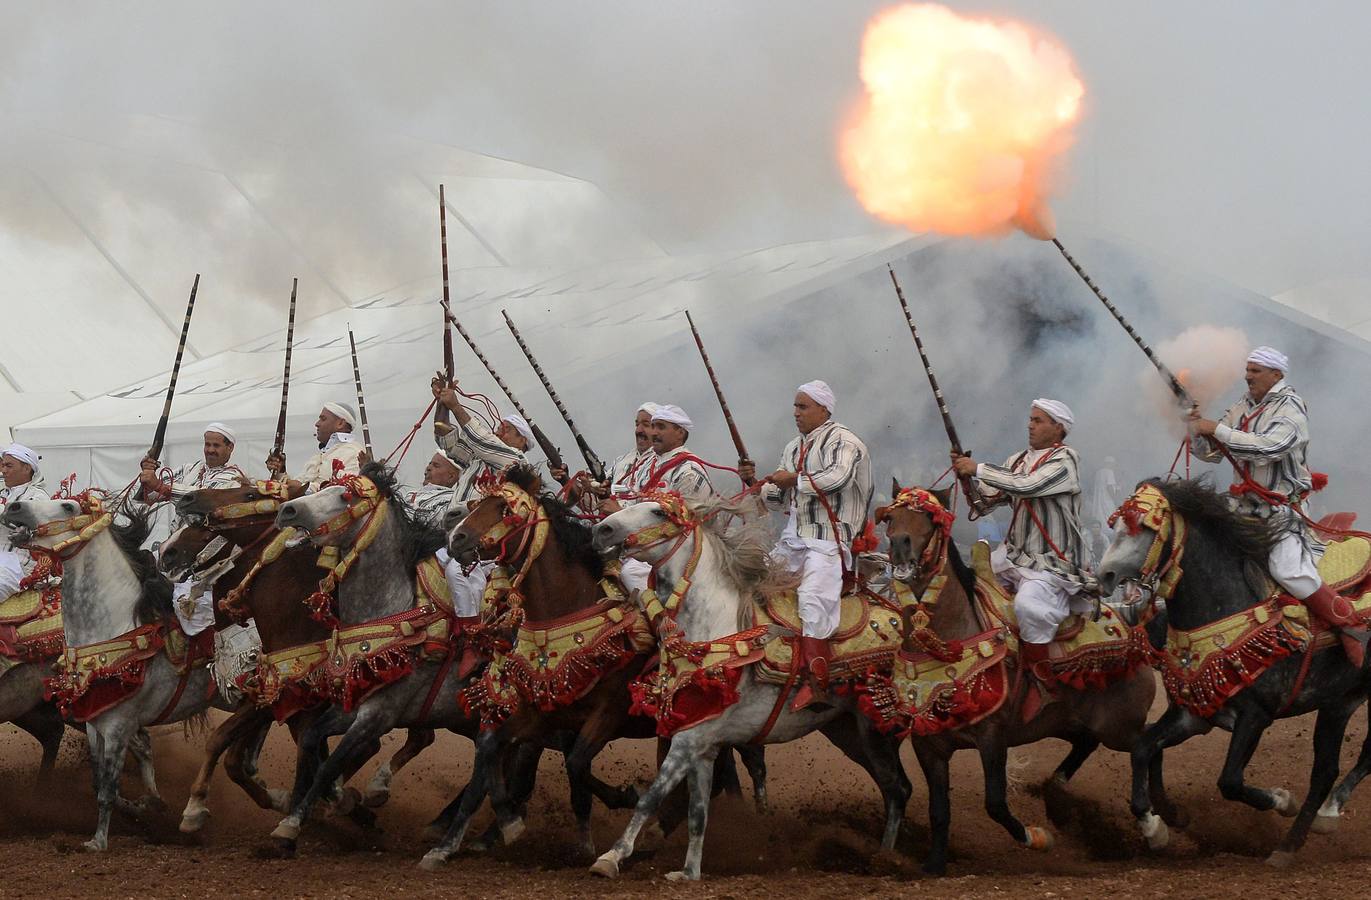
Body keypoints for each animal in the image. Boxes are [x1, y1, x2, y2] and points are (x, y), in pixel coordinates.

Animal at [1, 491, 231, 850]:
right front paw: (142, 810)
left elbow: (108, 785)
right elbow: (100, 781)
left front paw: (98, 841)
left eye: (68, 506)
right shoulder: (95, 720)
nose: (14, 506)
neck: (116, 626)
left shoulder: (117, 725)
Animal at [416, 466, 767, 867]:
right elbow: (491, 754)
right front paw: (469, 836)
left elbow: (576, 764)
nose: (456, 538)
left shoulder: (608, 712)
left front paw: (618, 804)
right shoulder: (539, 711)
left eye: (505, 509)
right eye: (478, 504)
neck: (567, 612)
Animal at [581, 491, 910, 878]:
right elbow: (698, 813)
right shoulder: (703, 744)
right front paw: (689, 872)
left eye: (659, 511)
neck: (715, 632)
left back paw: (888, 858)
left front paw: (611, 857)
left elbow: (651, 797)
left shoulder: (688, 740)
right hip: (850, 731)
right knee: (894, 788)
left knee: (899, 789)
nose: (602, 529)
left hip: (877, 730)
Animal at [877, 482, 1179, 878]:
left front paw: (1037, 837)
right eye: (891, 517)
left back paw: (1160, 823)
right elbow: (939, 810)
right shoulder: (929, 745)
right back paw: (1058, 793)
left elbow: (995, 803)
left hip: (1117, 726)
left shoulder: (992, 737)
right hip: (1070, 723)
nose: (900, 545)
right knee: (1097, 745)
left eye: (928, 518)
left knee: (1149, 745)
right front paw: (934, 865)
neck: (950, 640)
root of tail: (1134, 632)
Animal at [1096, 477, 1371, 867]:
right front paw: (1157, 826)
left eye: (1142, 528)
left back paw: (1289, 845)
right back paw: (1325, 816)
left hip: (1337, 703)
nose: (1104, 575)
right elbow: (1142, 748)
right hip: (1344, 700)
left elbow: (1229, 781)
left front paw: (1281, 800)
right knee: (1346, 763)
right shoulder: (1194, 715)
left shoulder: (1255, 715)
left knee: (1327, 770)